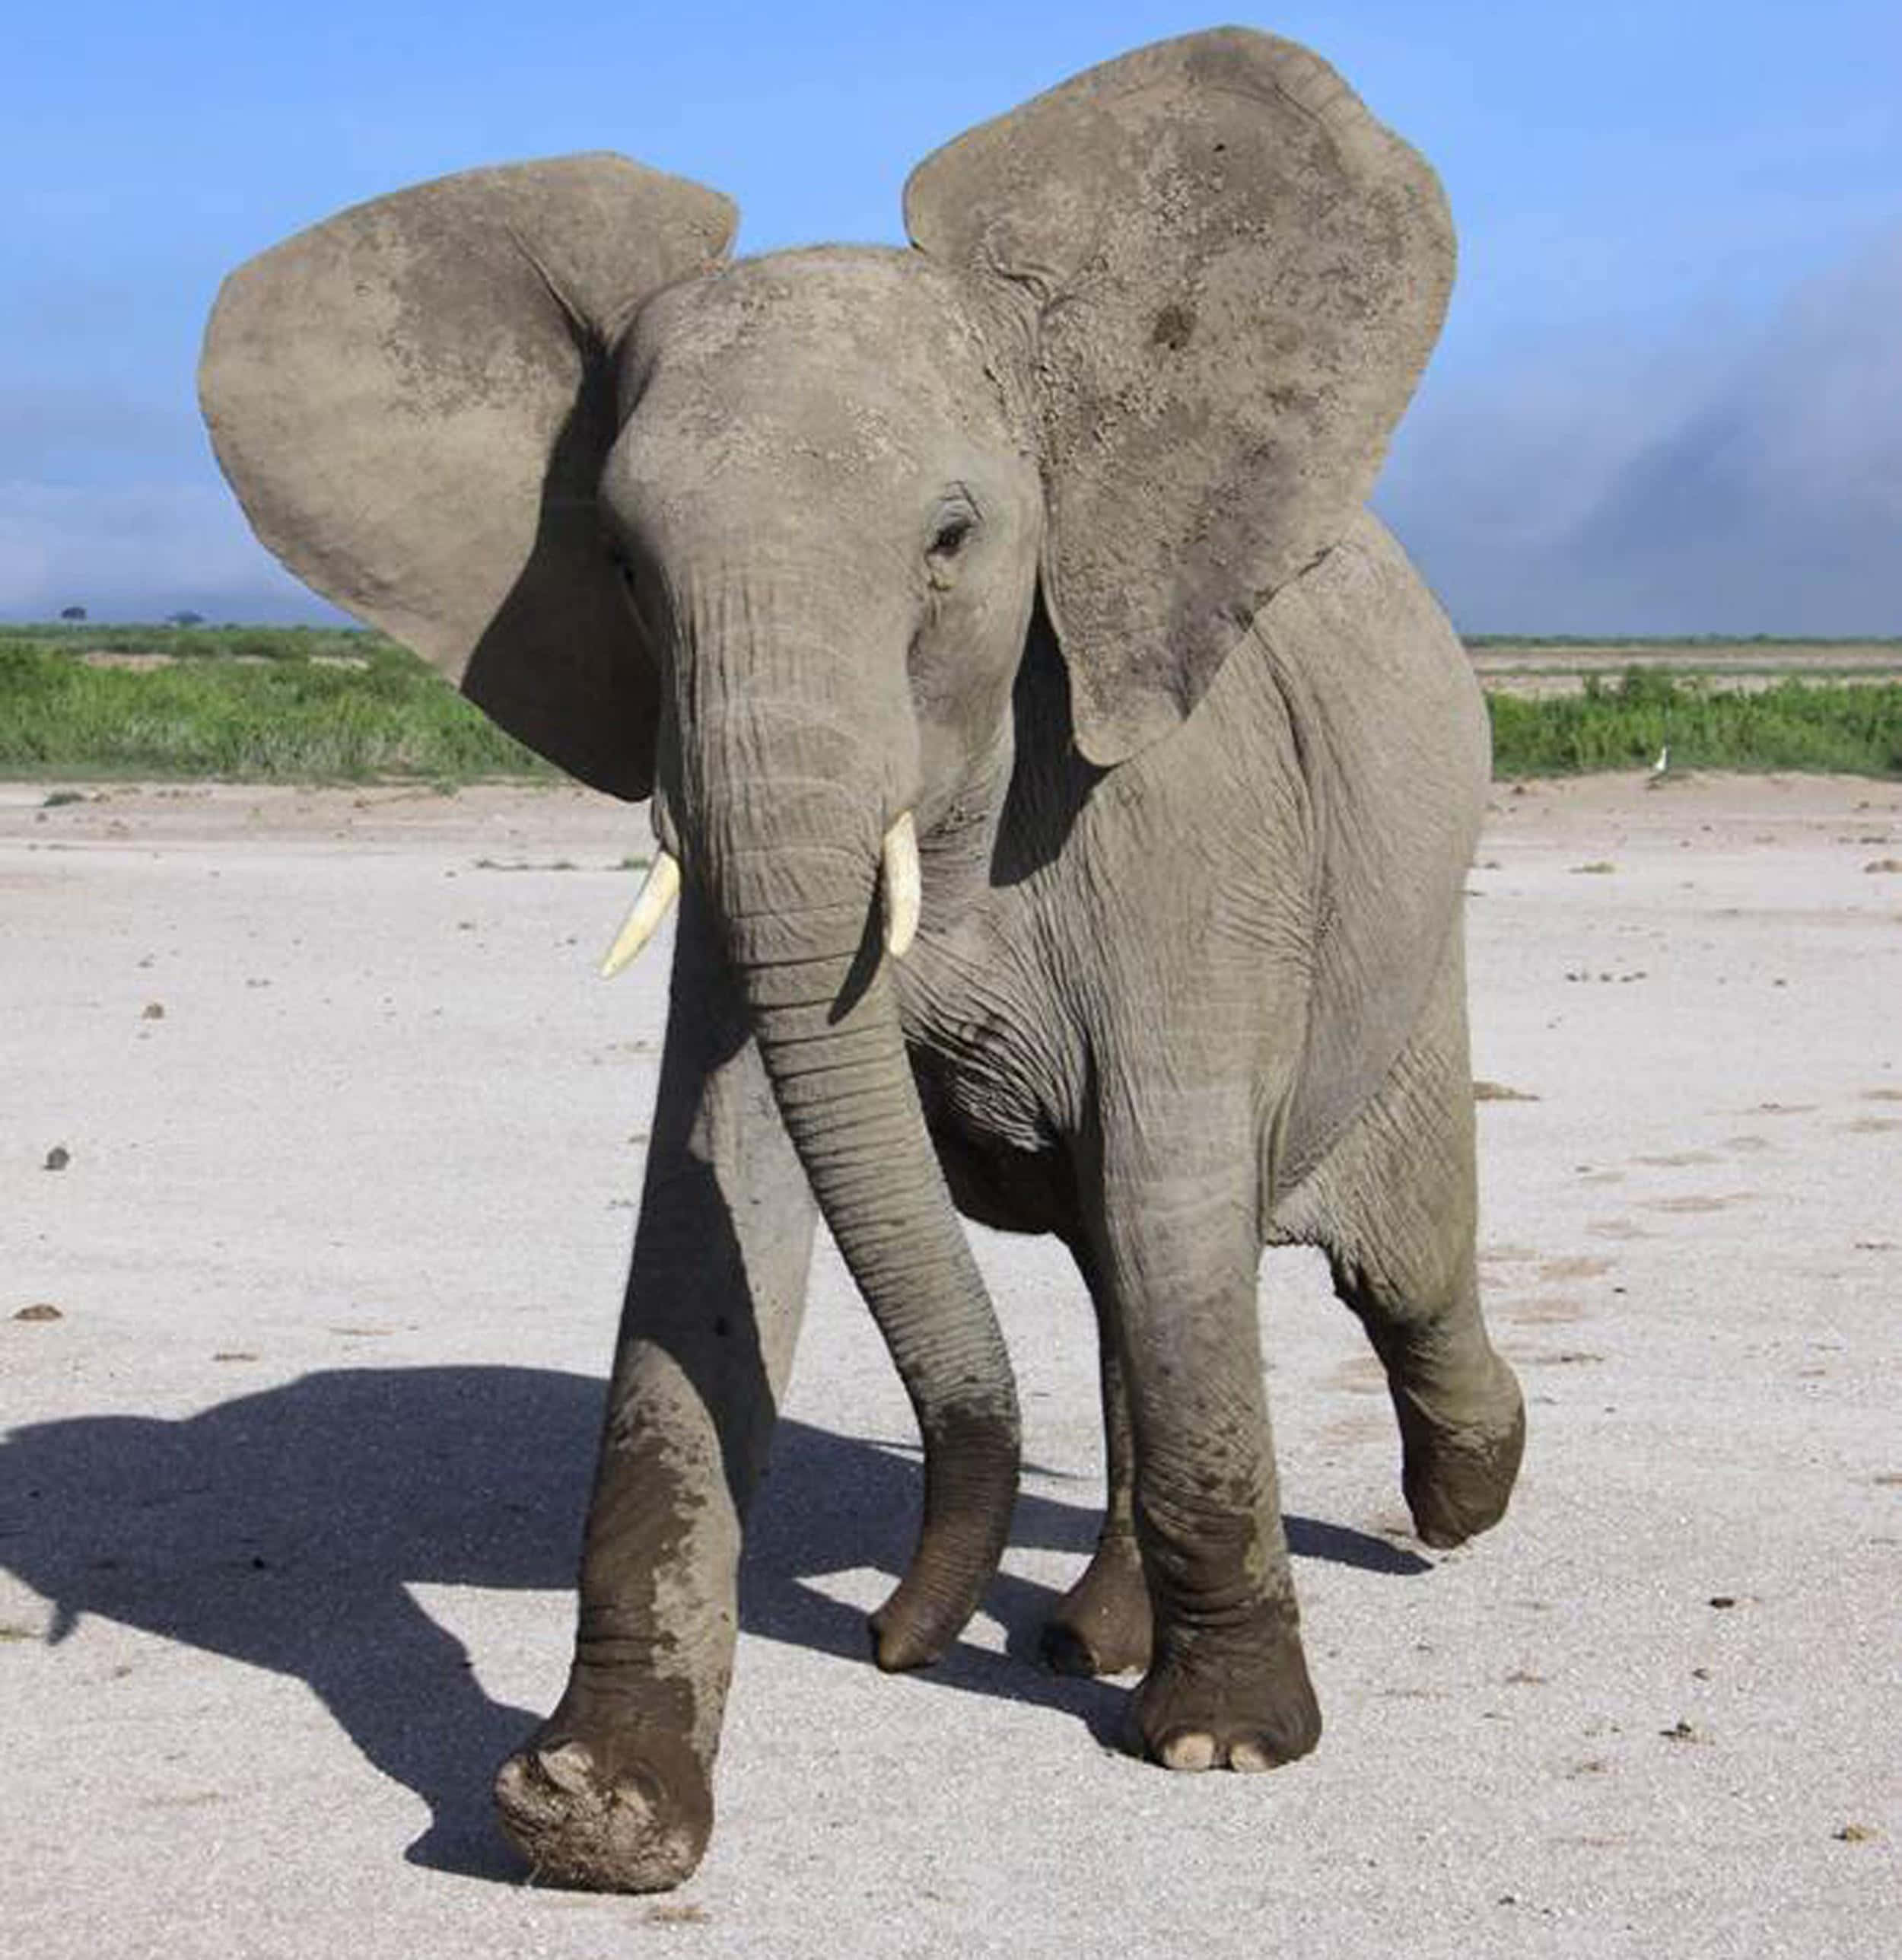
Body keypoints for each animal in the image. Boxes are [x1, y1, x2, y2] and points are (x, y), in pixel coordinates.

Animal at [199, 27, 1525, 1893]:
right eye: (620, 563)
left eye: (952, 540)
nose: (897, 1640)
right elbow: (716, 1215)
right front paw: (591, 1816)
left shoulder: (1184, 815)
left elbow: (1174, 1189)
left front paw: (1226, 1746)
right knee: (1136, 1277)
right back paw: (1086, 1638)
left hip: (1414, 957)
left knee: (1372, 1262)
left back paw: (1455, 1504)